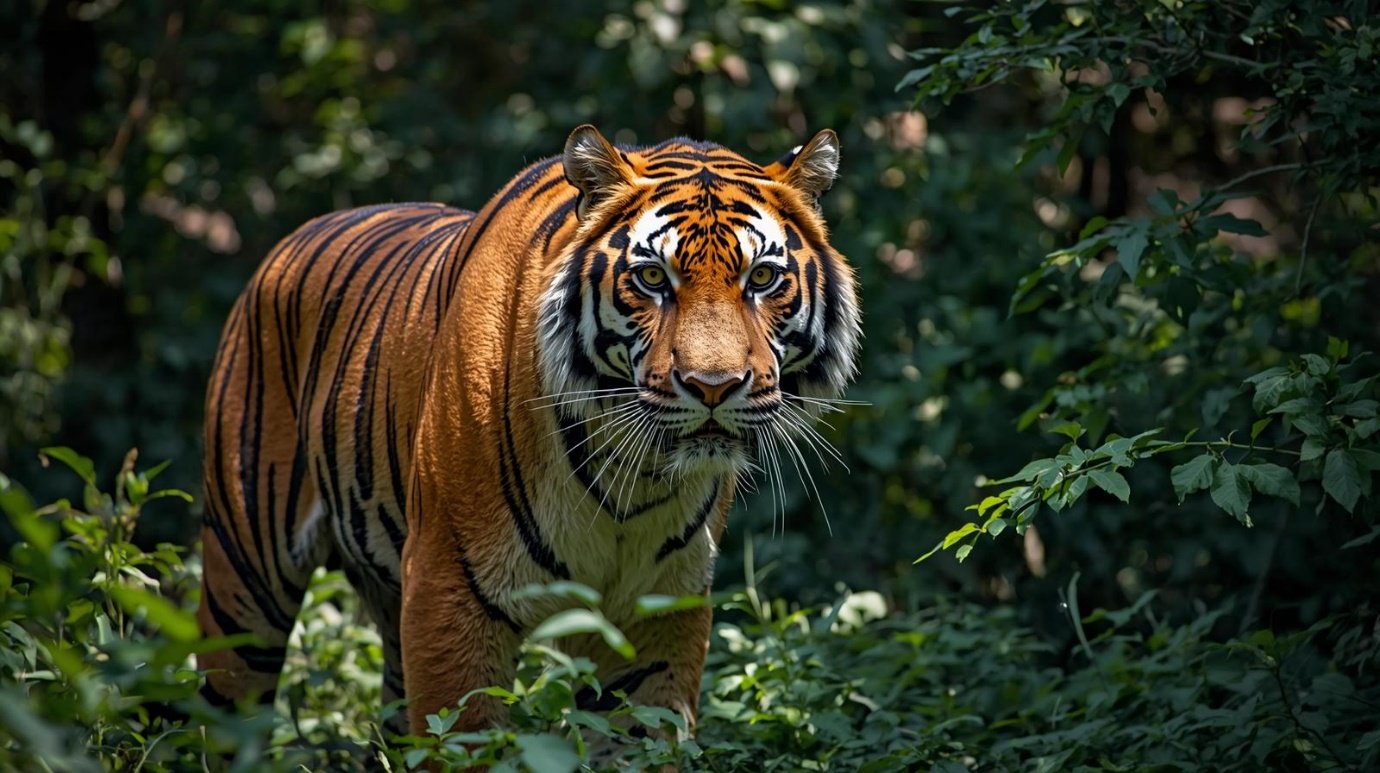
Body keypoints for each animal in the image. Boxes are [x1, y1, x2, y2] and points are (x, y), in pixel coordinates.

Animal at [196, 125, 861, 740]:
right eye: (651, 279)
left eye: (763, 278)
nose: (714, 386)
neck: (636, 477)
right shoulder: (447, 591)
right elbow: (462, 741)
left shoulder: (659, 607)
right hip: (244, 587)